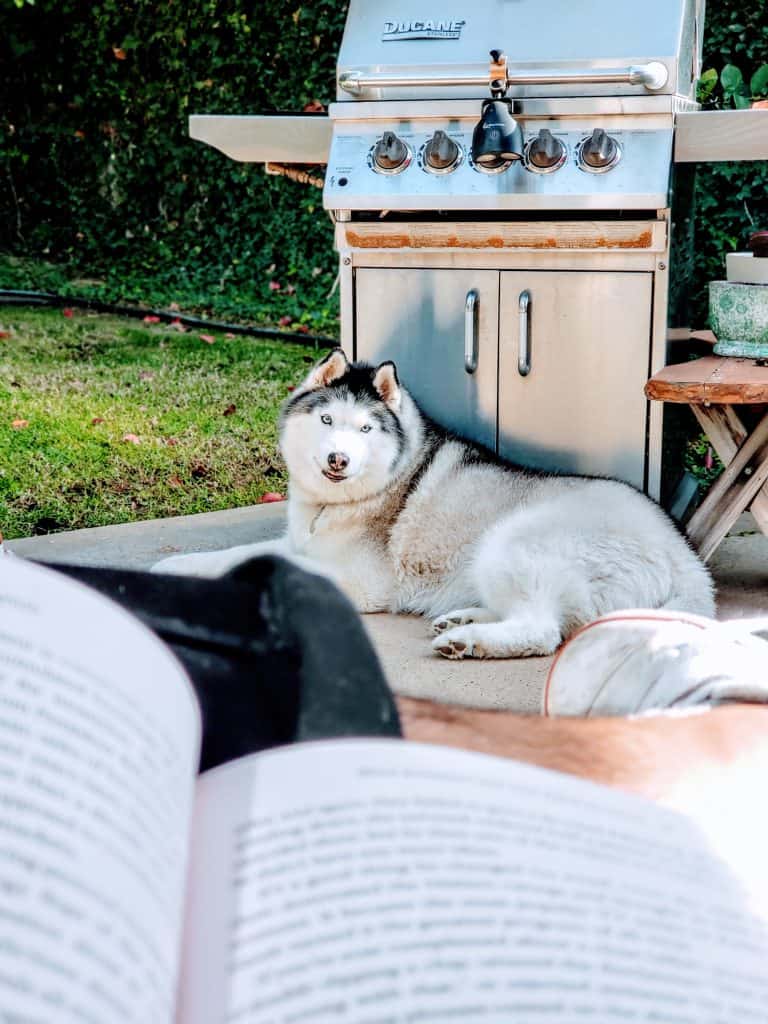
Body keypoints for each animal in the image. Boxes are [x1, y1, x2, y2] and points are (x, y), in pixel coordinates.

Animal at [153, 348, 720, 659]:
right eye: (327, 420)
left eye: (366, 429)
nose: (338, 459)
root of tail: (685, 556)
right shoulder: (300, 542)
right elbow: (233, 554)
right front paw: (177, 566)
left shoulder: (360, 580)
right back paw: (463, 619)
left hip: (511, 542)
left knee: (543, 630)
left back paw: (471, 642)